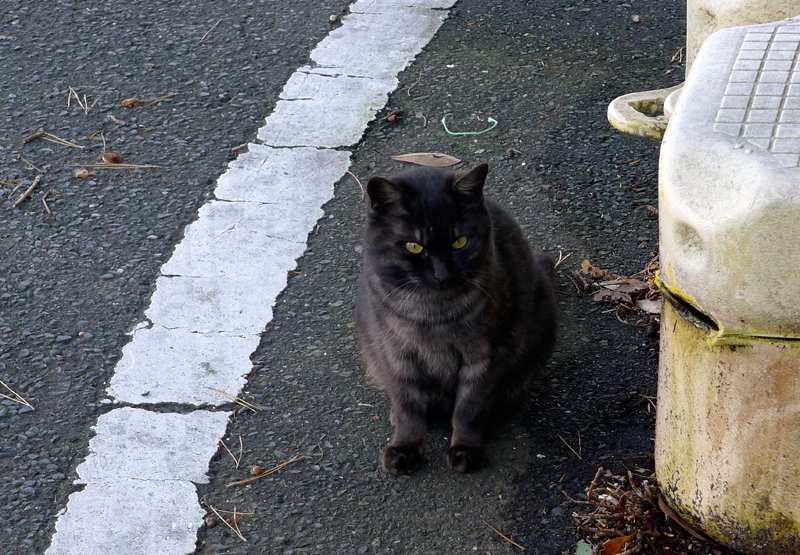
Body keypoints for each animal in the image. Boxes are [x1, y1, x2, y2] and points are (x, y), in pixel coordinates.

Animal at [356, 164, 556, 474]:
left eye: (459, 242)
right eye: (414, 247)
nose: (442, 274)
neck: (433, 314)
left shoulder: (485, 354)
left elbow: (469, 408)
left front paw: (466, 450)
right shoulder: (396, 353)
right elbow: (408, 406)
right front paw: (404, 449)